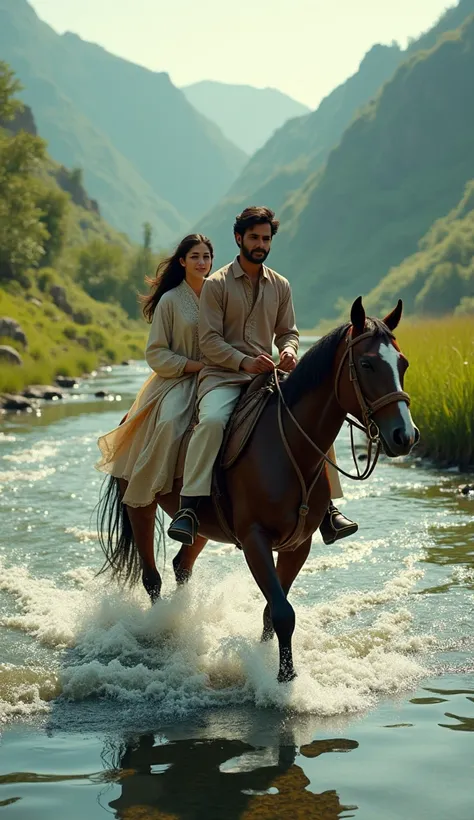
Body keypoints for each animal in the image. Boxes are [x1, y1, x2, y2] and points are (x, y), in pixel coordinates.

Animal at [97, 298, 418, 684]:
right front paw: (284, 679)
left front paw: (270, 664)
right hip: (139, 506)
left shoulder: (297, 545)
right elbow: (282, 612)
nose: (405, 436)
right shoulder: (255, 540)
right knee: (152, 578)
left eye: (403, 363)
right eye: (367, 364)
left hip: (203, 526)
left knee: (181, 565)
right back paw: (164, 631)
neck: (288, 447)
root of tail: (128, 417)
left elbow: (272, 611)